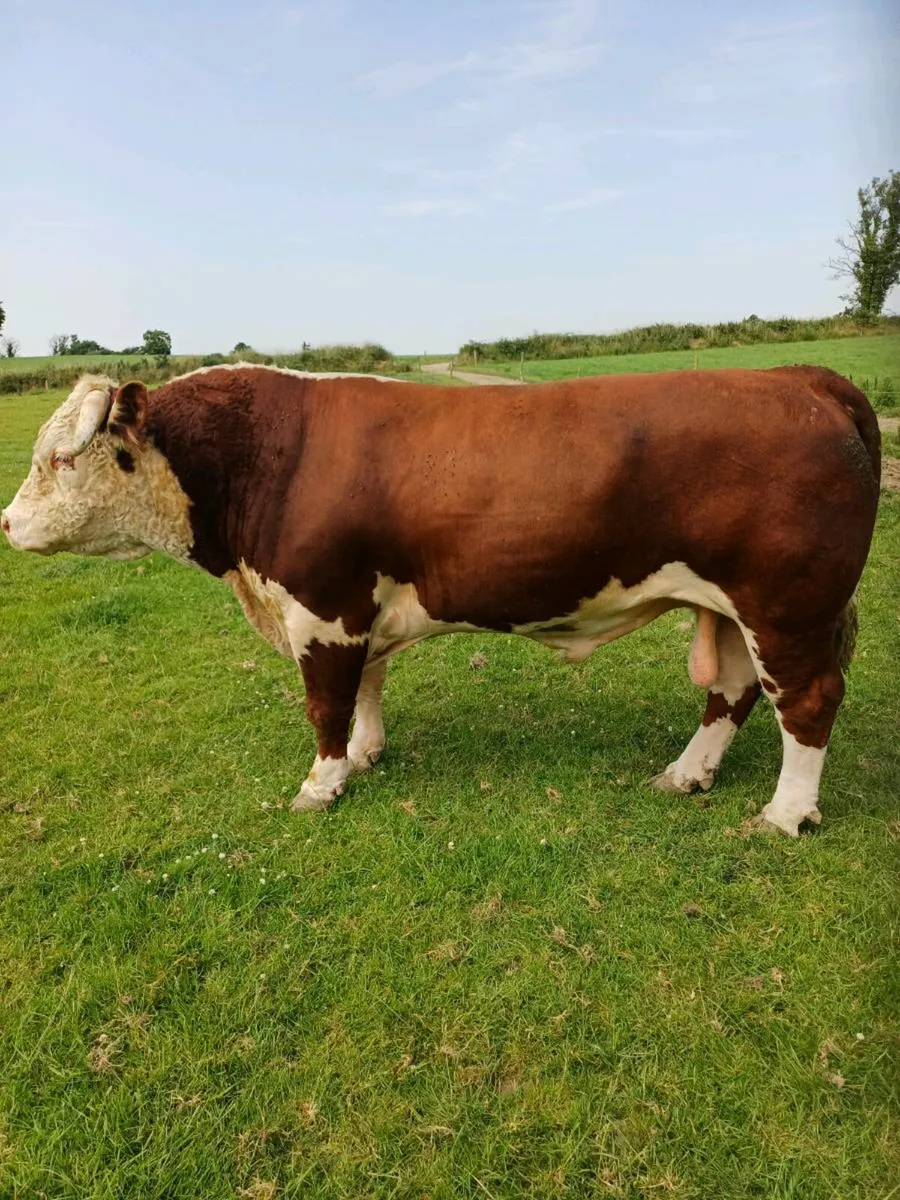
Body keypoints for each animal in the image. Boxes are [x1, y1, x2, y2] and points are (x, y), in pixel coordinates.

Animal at [1, 364, 881, 835]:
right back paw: (686, 775)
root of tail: (799, 378)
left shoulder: (322, 605)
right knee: (732, 691)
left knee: (806, 700)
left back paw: (785, 814)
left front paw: (321, 785)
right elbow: (367, 688)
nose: (6, 522)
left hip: (786, 605)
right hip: (733, 608)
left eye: (60, 459)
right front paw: (365, 753)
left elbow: (326, 701)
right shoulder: (355, 608)